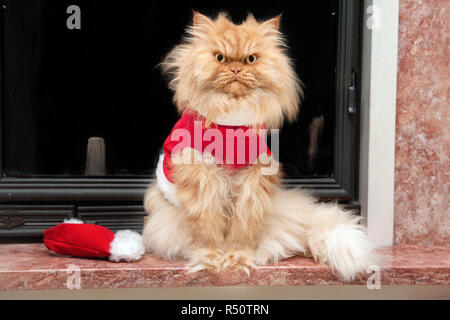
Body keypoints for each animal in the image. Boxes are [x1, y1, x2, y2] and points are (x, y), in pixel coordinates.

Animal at [144, 11, 376, 280]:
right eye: (220, 58)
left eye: (251, 59)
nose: (235, 68)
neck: (231, 124)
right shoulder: (202, 179)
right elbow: (207, 232)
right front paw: (210, 262)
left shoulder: (253, 179)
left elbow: (242, 232)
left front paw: (237, 260)